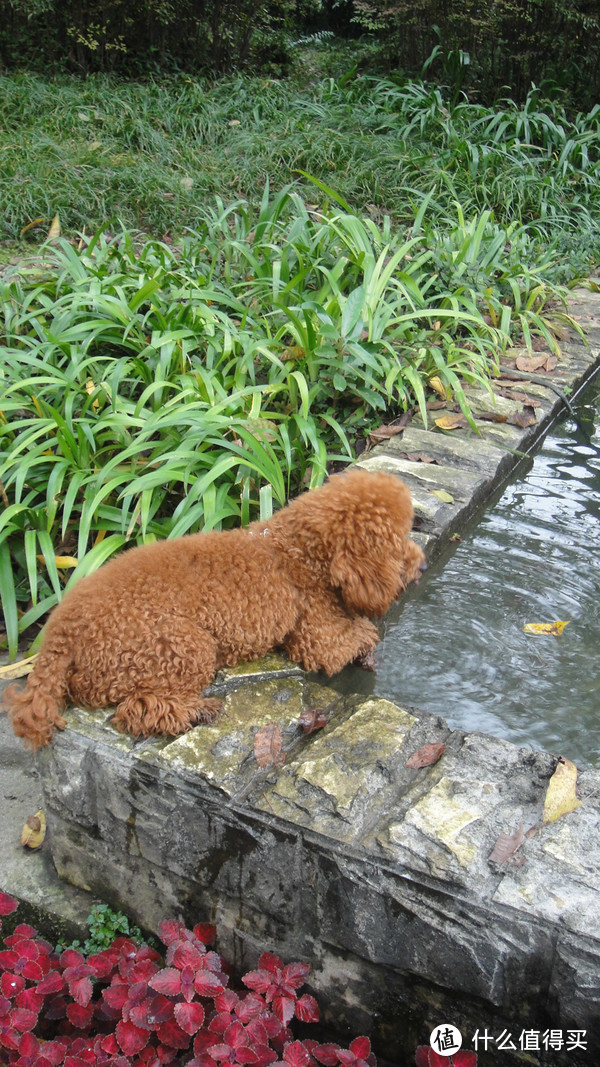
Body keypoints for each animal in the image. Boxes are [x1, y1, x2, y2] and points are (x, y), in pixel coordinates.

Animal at [5, 471, 424, 746]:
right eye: (398, 542)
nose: (420, 564)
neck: (295, 551)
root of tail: (58, 636)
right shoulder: (319, 638)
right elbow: (356, 636)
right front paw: (367, 645)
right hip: (181, 647)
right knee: (136, 710)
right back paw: (195, 710)